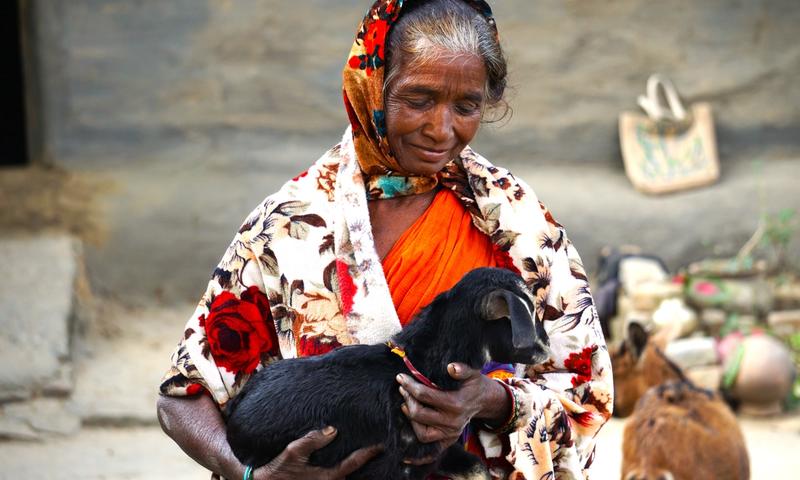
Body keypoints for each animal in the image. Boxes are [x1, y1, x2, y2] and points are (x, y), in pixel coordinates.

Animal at [225, 267, 550, 480]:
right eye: (527, 312)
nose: (546, 346)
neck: (417, 367)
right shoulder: (390, 466)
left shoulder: (437, 455)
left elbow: (478, 469)